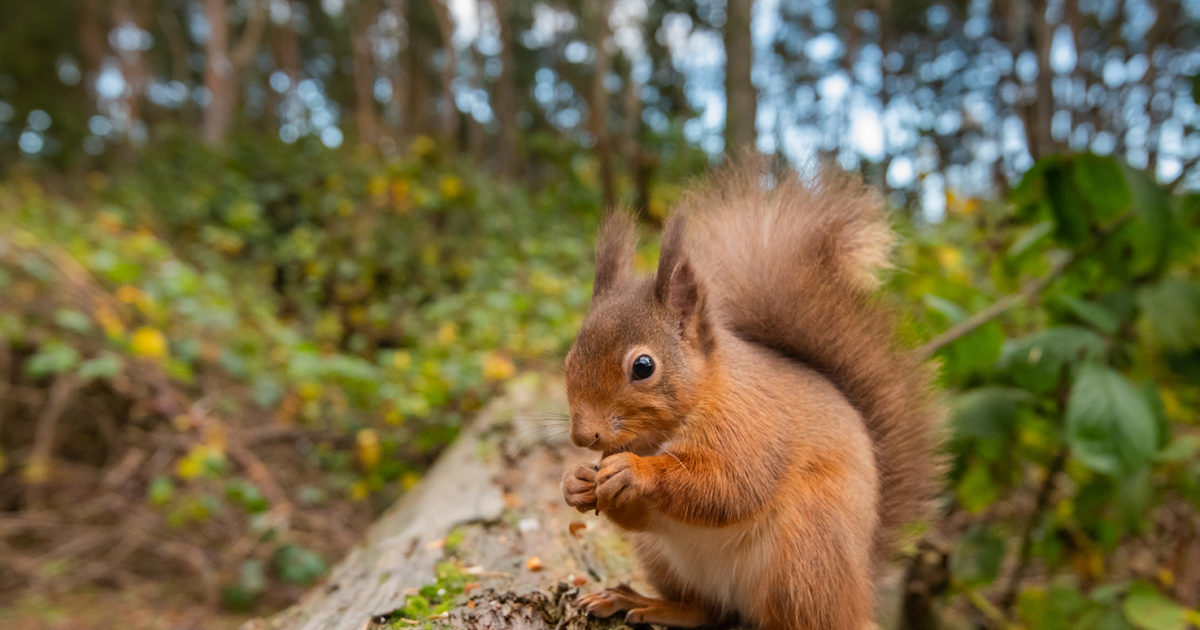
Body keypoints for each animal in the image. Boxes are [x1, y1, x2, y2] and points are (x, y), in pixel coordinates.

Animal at [560, 162, 943, 630]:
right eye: (568, 359)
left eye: (643, 367)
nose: (584, 437)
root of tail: (860, 592)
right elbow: (644, 515)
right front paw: (576, 483)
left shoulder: (754, 428)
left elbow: (729, 486)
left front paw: (634, 471)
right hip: (666, 560)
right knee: (707, 610)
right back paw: (642, 601)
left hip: (805, 555)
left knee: (799, 619)